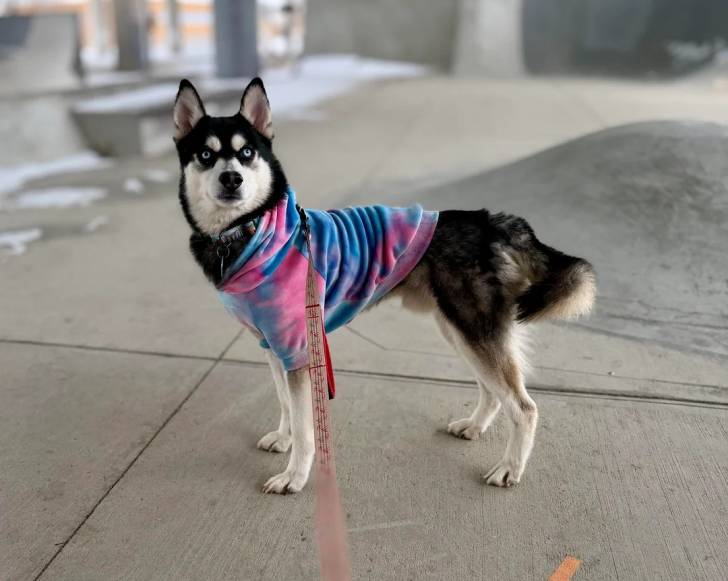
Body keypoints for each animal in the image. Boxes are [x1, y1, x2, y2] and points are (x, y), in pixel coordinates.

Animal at [173, 77, 596, 494]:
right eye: (206, 155)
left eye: (246, 152)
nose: (232, 178)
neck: (253, 232)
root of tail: (490, 222)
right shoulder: (274, 347)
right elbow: (286, 405)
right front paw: (284, 438)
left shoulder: (298, 349)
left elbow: (307, 426)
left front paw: (295, 475)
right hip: (459, 330)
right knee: (494, 392)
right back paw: (474, 426)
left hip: (474, 330)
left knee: (524, 408)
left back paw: (509, 467)